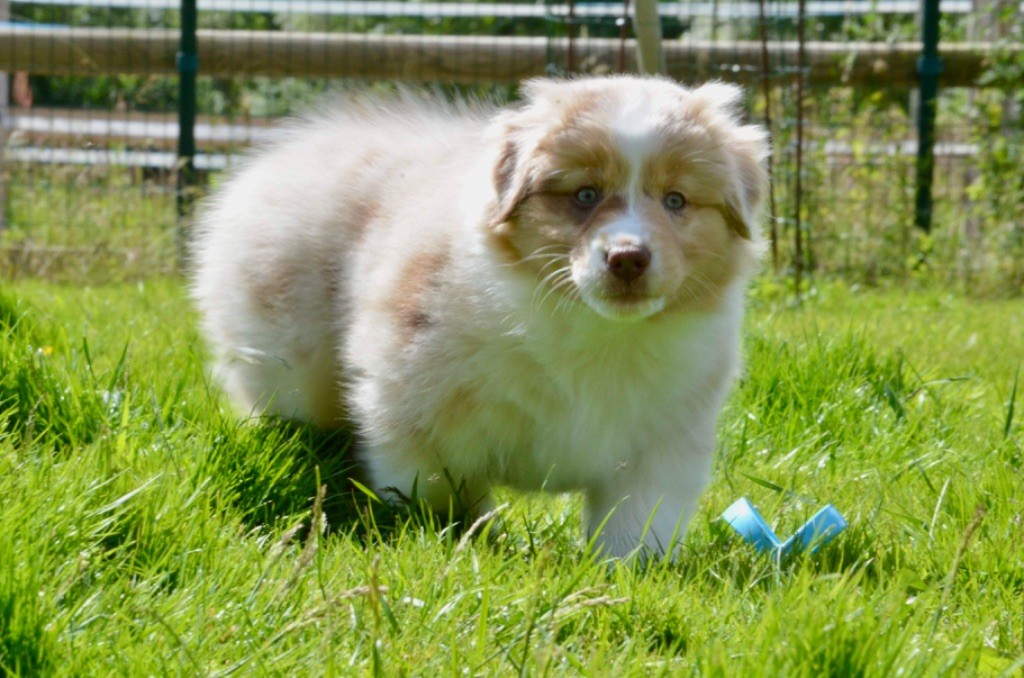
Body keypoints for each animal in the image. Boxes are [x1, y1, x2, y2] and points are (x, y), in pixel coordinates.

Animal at [191, 76, 769, 560]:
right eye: (584, 195)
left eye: (676, 201)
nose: (628, 257)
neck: (593, 332)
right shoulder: (414, 410)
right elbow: (433, 495)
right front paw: (458, 543)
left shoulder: (664, 441)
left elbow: (638, 525)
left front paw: (625, 573)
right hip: (285, 363)